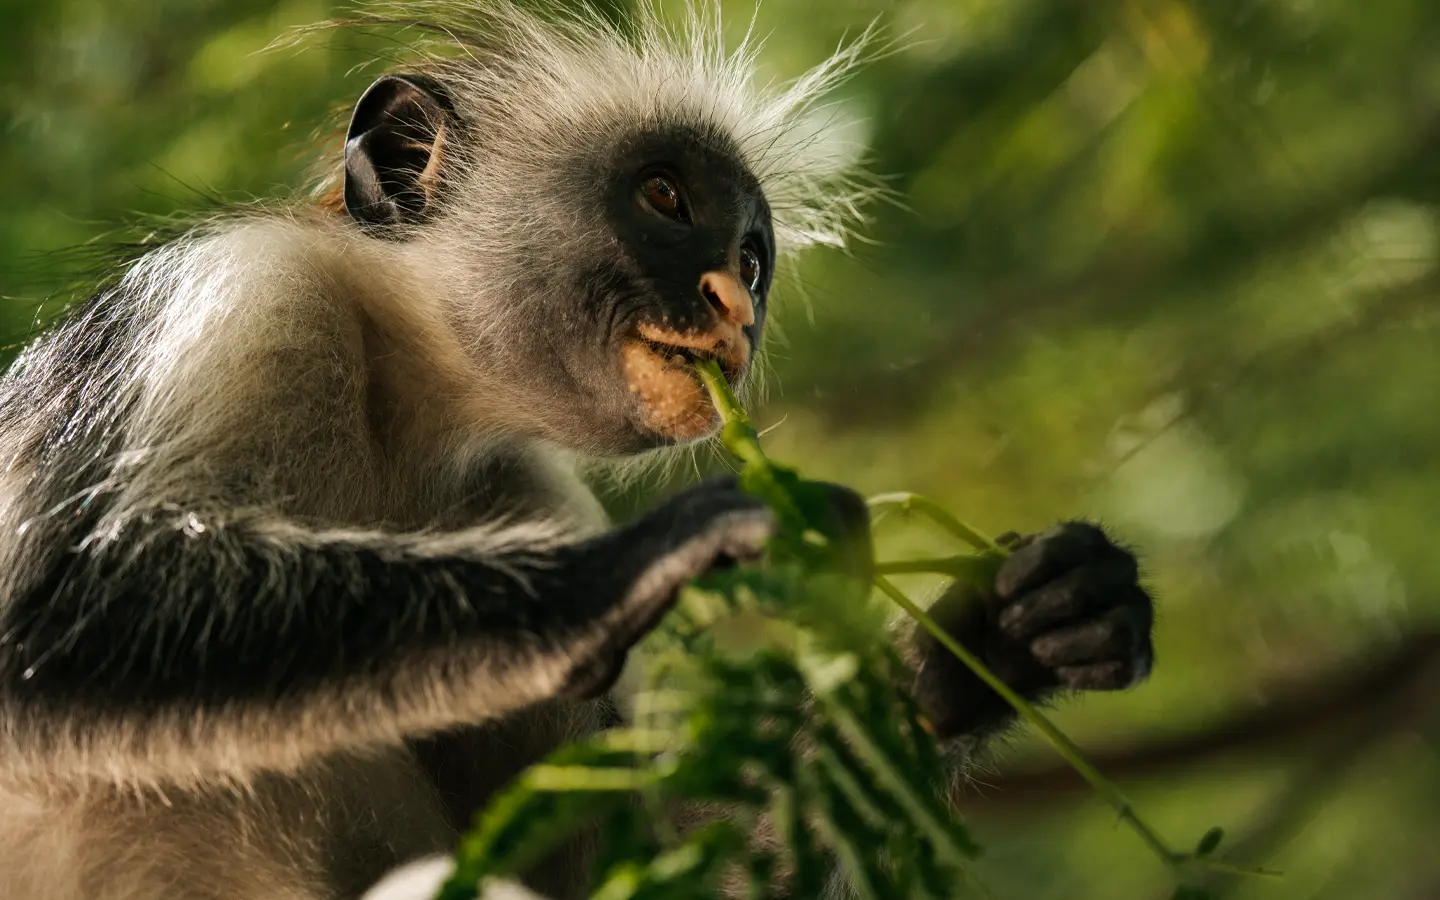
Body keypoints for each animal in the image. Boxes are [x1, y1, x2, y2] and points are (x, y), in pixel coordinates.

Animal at [0, 3, 1155, 899]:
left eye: (752, 256)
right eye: (665, 197)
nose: (736, 309)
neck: (397, 402)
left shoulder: (509, 482)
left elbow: (608, 864)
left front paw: (1002, 636)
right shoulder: (247, 290)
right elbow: (46, 620)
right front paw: (660, 556)